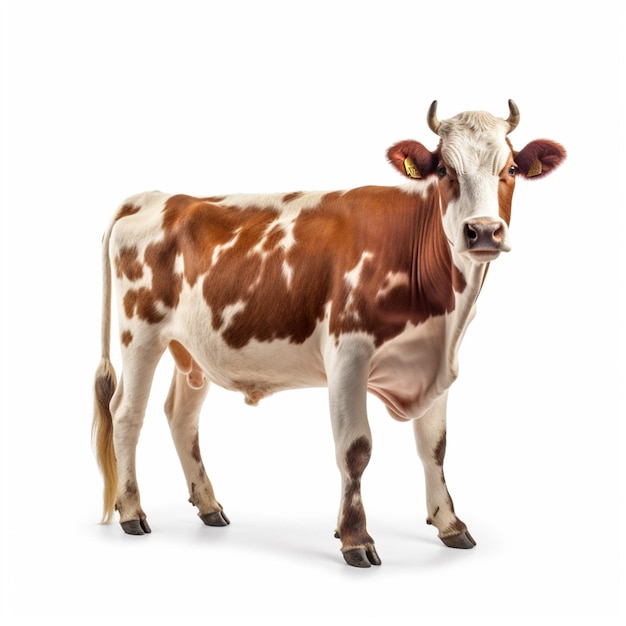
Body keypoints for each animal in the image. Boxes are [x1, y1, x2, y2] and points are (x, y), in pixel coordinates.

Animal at [91, 101, 564, 564]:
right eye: (445, 169)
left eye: (511, 169)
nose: (483, 231)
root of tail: (157, 197)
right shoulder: (348, 355)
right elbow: (355, 449)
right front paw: (356, 538)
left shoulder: (435, 362)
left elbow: (434, 446)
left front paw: (449, 524)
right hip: (140, 333)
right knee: (127, 414)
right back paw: (131, 512)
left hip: (193, 346)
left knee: (181, 416)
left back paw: (209, 506)